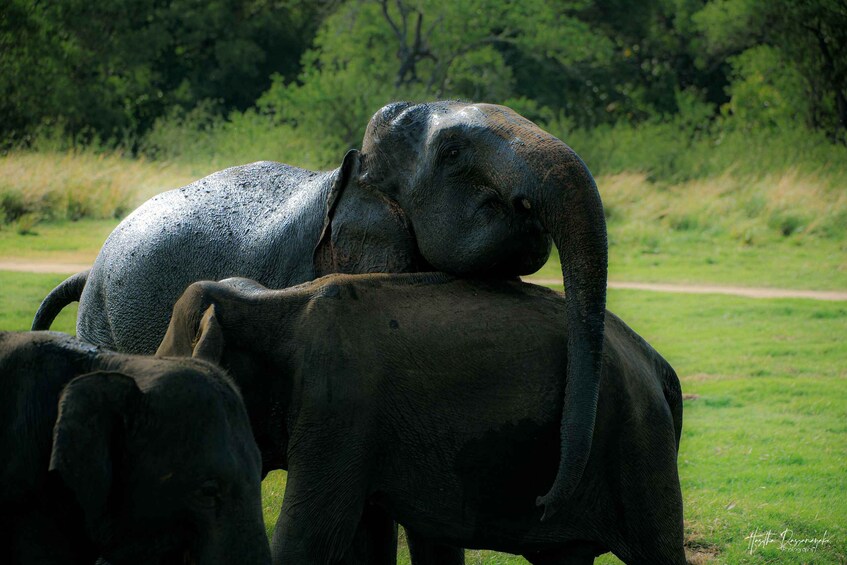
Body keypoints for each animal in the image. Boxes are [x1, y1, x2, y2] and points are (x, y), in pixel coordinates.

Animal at [156, 274, 685, 565]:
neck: (267, 302)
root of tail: (655, 361)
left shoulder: (339, 404)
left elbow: (313, 537)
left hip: (636, 442)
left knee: (657, 550)